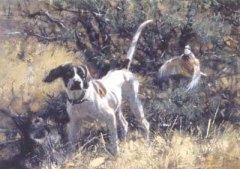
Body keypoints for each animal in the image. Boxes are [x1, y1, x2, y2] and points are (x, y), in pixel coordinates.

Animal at [43, 19, 152, 154]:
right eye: (68, 74)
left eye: (81, 74)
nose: (77, 82)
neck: (81, 100)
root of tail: (123, 70)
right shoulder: (74, 124)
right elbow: (71, 144)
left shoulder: (109, 117)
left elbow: (113, 140)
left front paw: (115, 154)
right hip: (117, 108)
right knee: (125, 124)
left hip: (134, 103)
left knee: (145, 124)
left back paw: (146, 143)